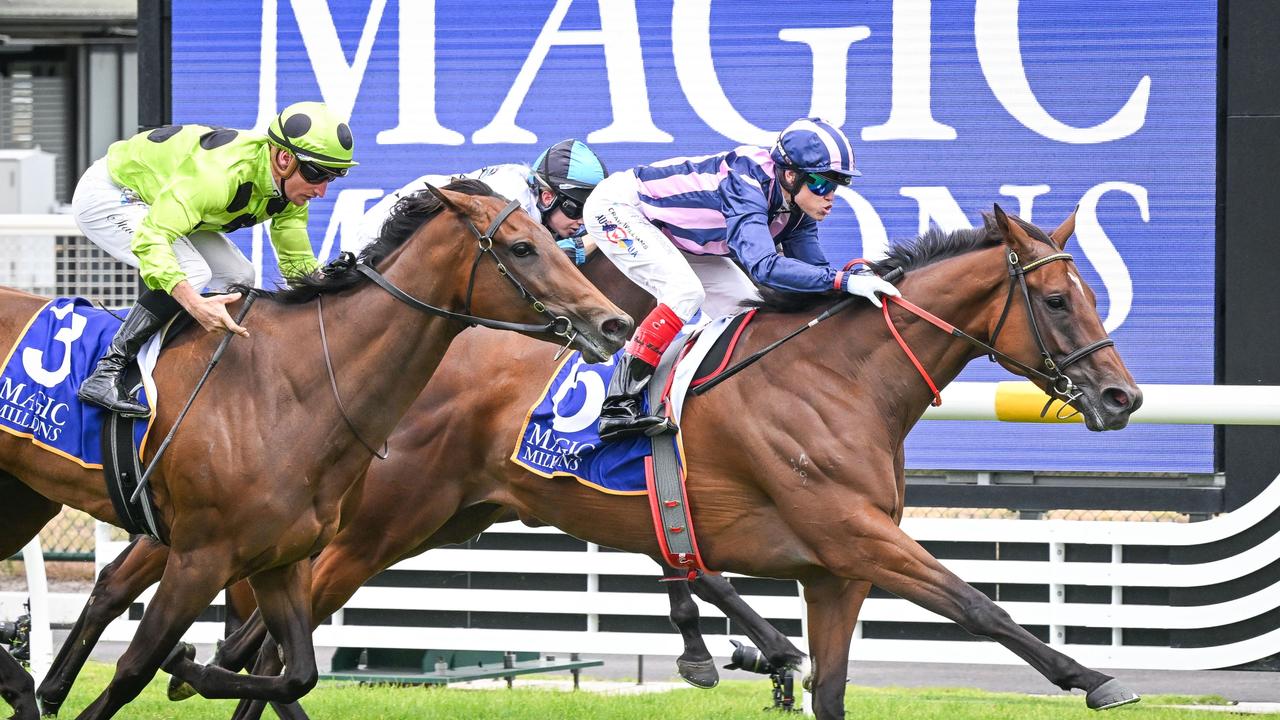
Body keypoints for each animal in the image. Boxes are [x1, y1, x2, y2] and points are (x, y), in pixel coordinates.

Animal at [0, 180, 624, 717]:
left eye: (556, 242)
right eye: (522, 248)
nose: (613, 324)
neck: (294, 388)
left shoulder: (277, 558)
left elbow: (294, 671)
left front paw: (191, 670)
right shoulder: (201, 557)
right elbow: (135, 667)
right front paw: (178, 666)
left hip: (25, 501)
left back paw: (42, 686)